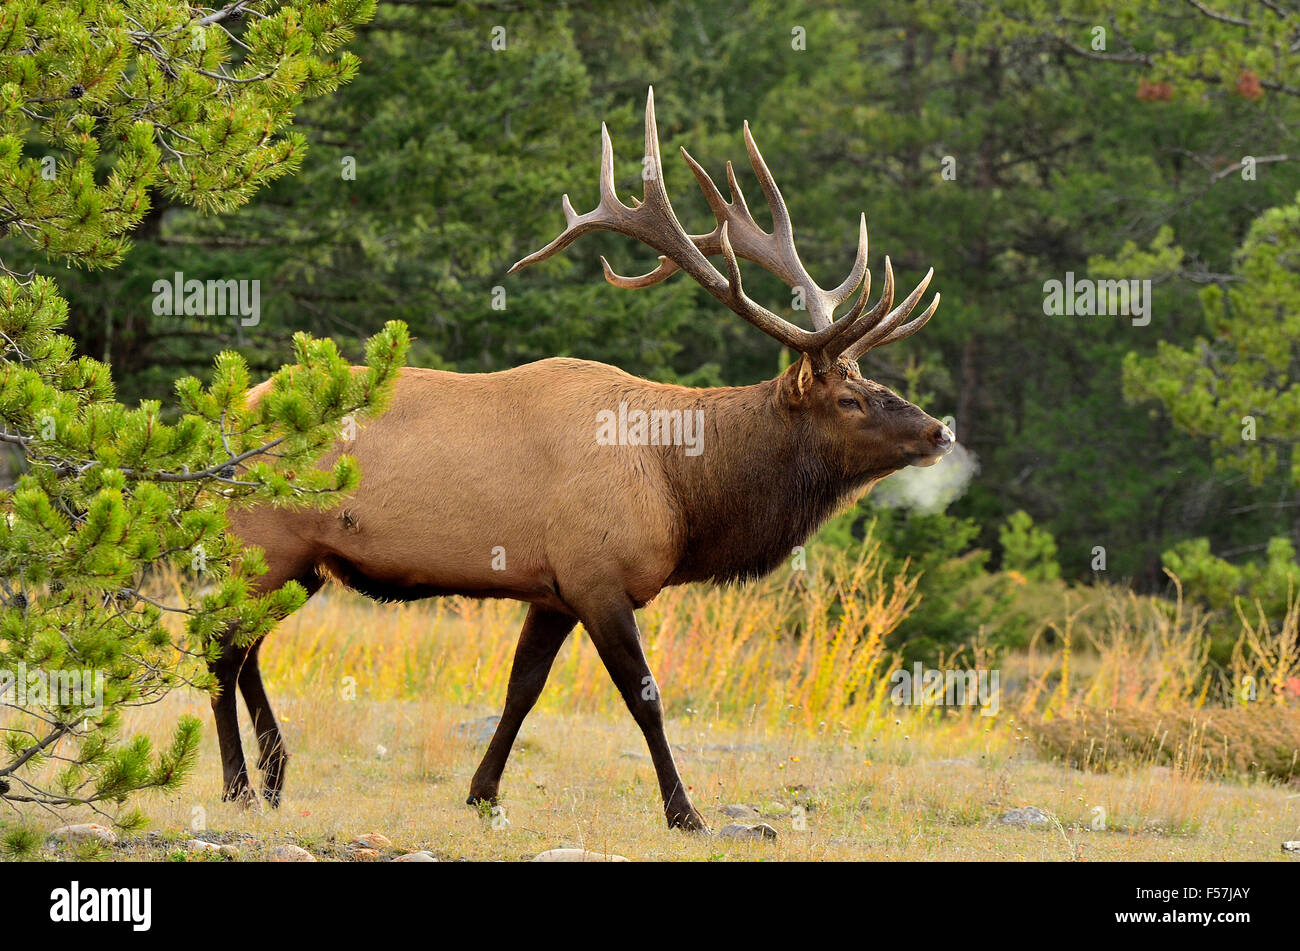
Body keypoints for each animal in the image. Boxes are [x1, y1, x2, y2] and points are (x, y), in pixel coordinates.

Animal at [219, 88, 953, 831]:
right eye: (850, 399)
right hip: (266, 540)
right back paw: (240, 786)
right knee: (223, 649)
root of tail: (227, 414)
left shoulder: (554, 588)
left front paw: (482, 793)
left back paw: (276, 776)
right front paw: (685, 813)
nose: (938, 431)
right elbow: (645, 696)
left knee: (247, 649)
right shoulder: (598, 574)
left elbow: (522, 687)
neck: (680, 488)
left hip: (303, 562)